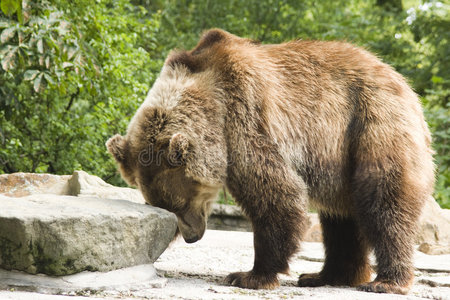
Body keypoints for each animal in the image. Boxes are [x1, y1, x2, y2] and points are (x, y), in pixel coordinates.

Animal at [107, 29, 434, 294]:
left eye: (182, 201)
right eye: (163, 205)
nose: (192, 237)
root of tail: (402, 82)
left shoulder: (245, 113)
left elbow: (275, 193)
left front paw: (249, 275)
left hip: (371, 123)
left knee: (384, 200)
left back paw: (386, 281)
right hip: (340, 158)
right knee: (341, 218)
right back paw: (325, 275)